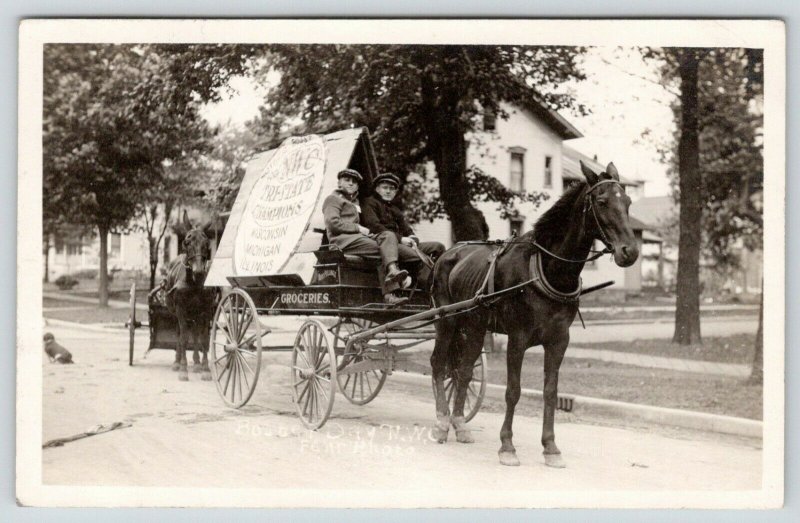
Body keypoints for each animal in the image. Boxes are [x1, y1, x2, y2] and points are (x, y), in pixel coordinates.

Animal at [164, 212, 214, 380]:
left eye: (206, 243)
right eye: (186, 242)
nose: (198, 271)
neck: (194, 283)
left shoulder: (206, 310)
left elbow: (204, 339)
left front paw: (205, 369)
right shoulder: (180, 309)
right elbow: (184, 338)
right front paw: (183, 368)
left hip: (196, 313)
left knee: (196, 333)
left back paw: (197, 363)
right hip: (175, 313)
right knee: (180, 333)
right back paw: (177, 362)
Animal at [432, 160, 636, 466]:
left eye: (628, 202)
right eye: (601, 202)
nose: (630, 252)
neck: (547, 270)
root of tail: (449, 253)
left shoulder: (559, 341)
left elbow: (550, 392)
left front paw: (550, 447)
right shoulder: (517, 339)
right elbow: (513, 391)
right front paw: (507, 446)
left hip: (475, 325)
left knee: (463, 371)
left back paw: (460, 424)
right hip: (447, 321)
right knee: (438, 364)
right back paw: (442, 422)